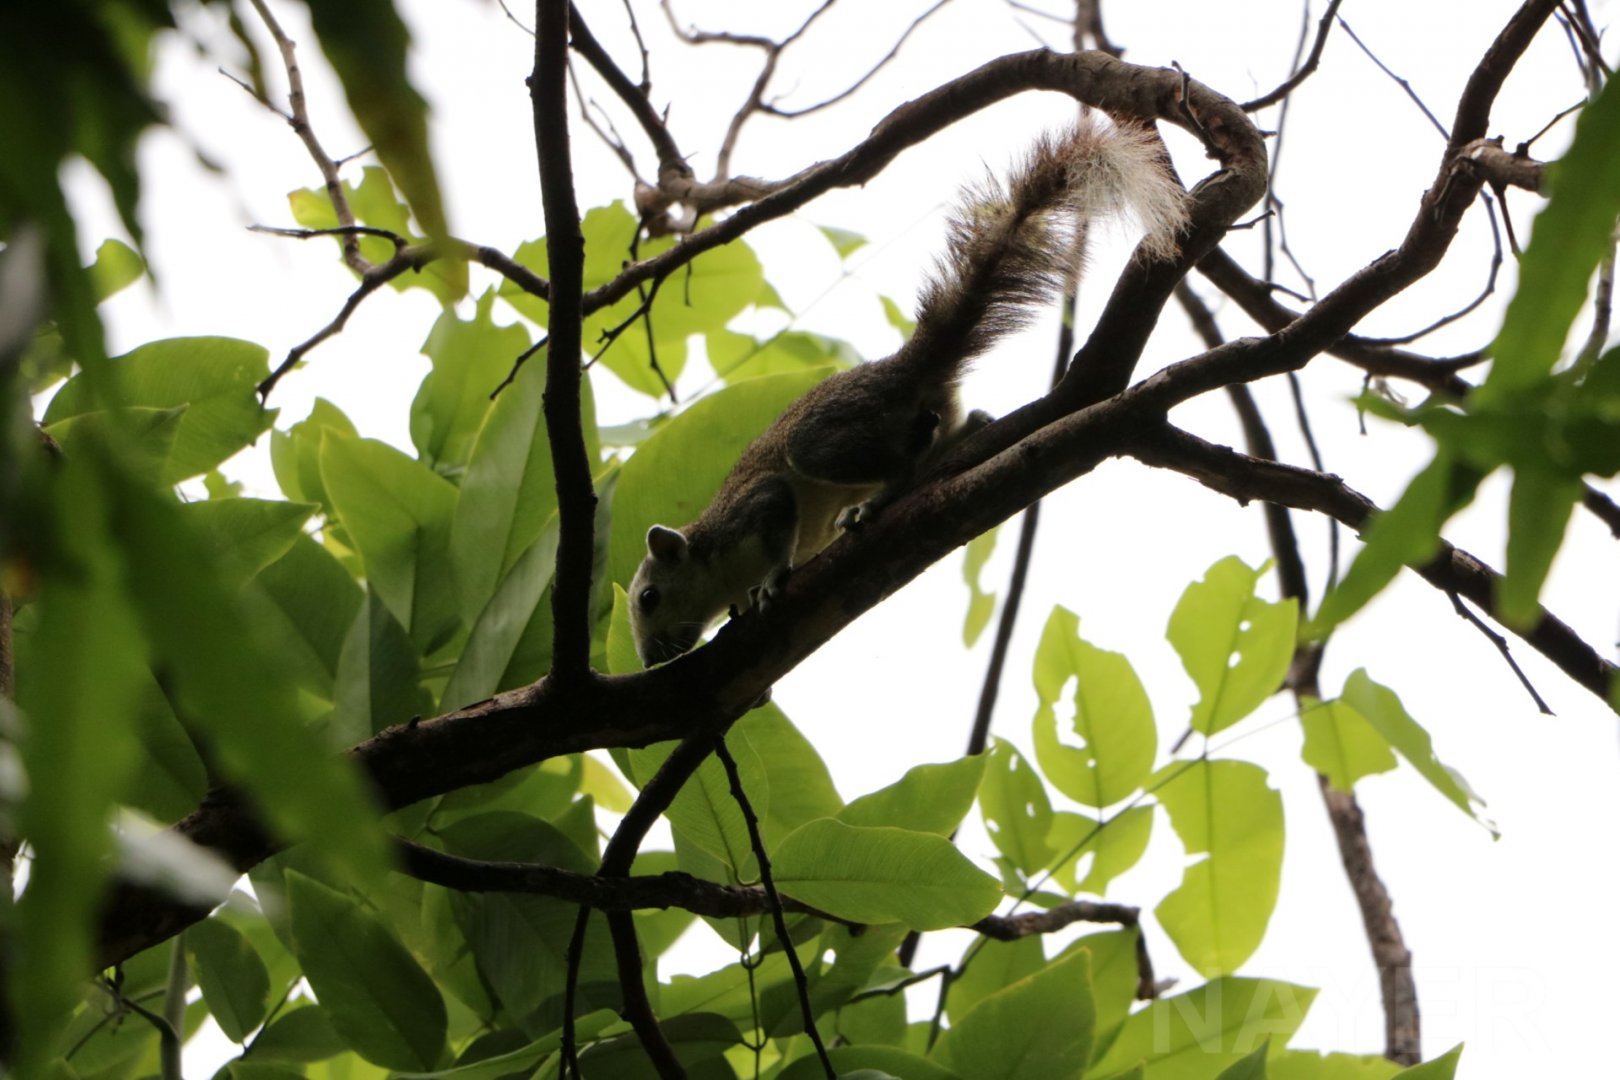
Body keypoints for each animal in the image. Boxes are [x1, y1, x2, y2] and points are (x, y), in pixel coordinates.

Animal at [628, 117, 1189, 665]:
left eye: (649, 597)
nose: (650, 661)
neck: (712, 556)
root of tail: (905, 367)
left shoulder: (754, 508)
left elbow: (777, 525)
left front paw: (768, 581)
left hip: (825, 440)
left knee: (898, 463)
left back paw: (874, 500)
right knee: (945, 433)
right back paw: (970, 430)